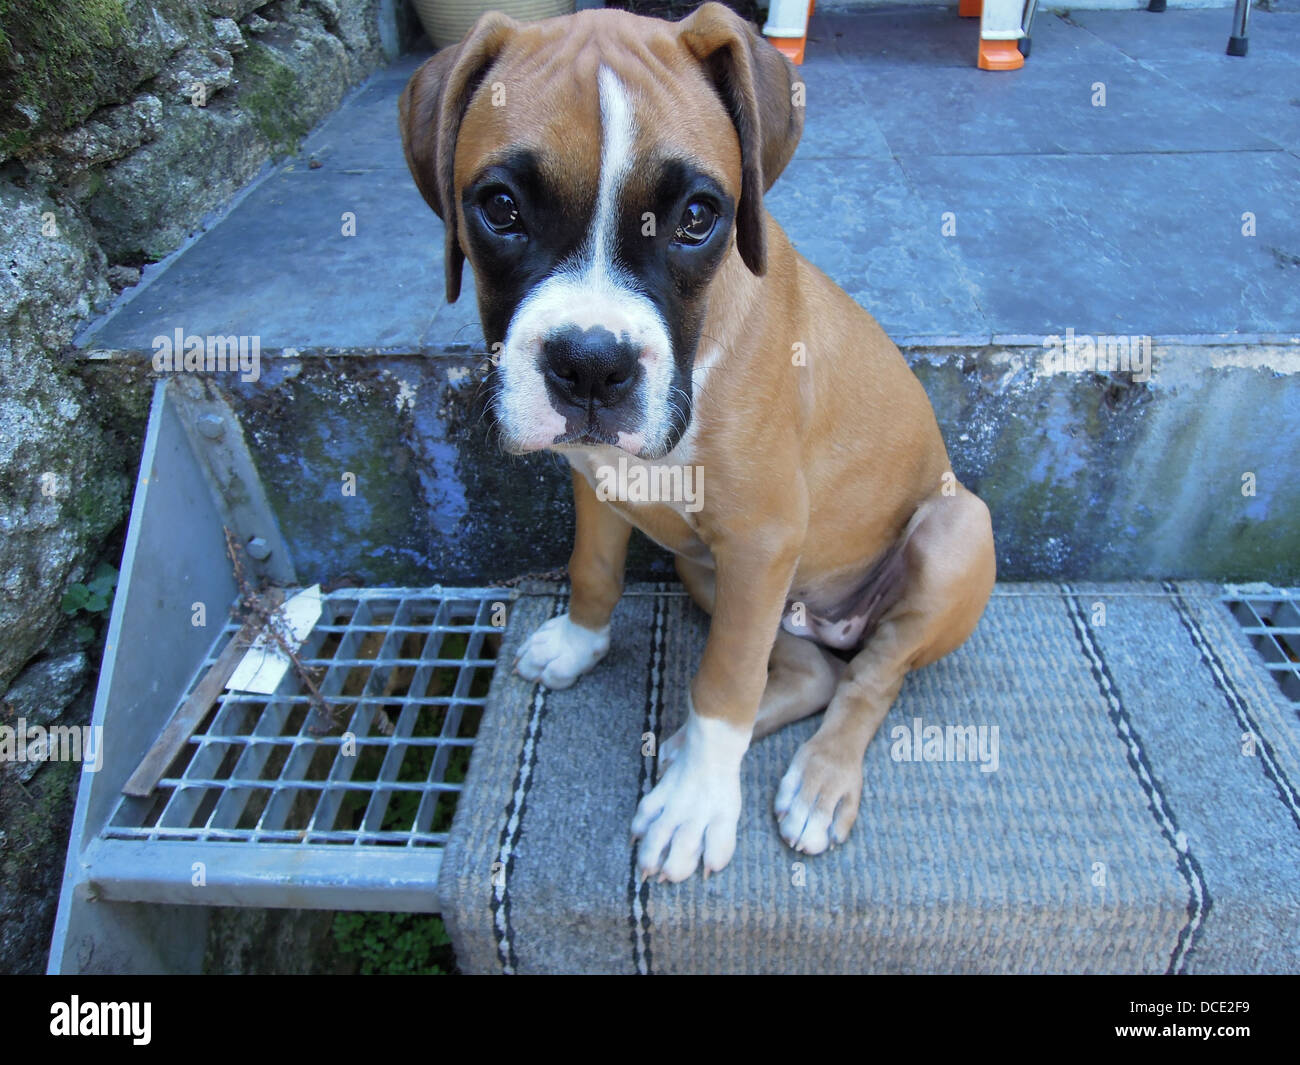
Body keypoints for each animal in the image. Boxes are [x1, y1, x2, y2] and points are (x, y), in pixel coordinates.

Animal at [395, 2, 993, 884]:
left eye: (698, 218)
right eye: (499, 208)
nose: (591, 364)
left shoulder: (761, 538)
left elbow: (725, 680)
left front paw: (697, 809)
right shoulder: (599, 481)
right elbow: (595, 570)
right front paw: (579, 643)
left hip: (953, 530)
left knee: (871, 675)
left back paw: (813, 781)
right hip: (710, 573)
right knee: (815, 673)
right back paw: (685, 744)